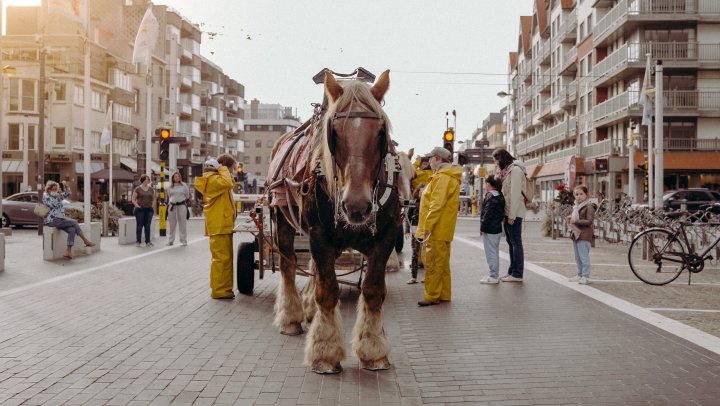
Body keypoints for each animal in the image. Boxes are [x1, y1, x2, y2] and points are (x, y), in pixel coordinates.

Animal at [270, 70, 400, 374]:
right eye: (335, 134)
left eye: (381, 133)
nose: (356, 205)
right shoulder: (319, 236)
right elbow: (327, 291)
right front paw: (325, 352)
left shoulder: (387, 236)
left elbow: (373, 291)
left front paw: (373, 350)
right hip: (282, 218)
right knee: (288, 265)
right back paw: (291, 318)